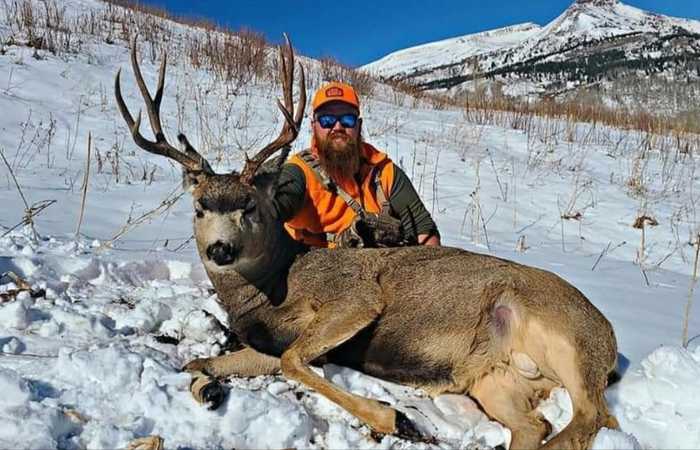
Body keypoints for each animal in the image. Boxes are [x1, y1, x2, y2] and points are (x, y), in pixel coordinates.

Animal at [114, 35, 619, 450]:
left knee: (592, 416)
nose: (221, 250)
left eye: (251, 206)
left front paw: (395, 418)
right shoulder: (267, 346)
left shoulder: (353, 299)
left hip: (564, 333)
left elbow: (295, 360)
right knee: (537, 426)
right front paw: (206, 388)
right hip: (496, 380)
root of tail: (608, 334)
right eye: (200, 206)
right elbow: (198, 364)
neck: (272, 288)